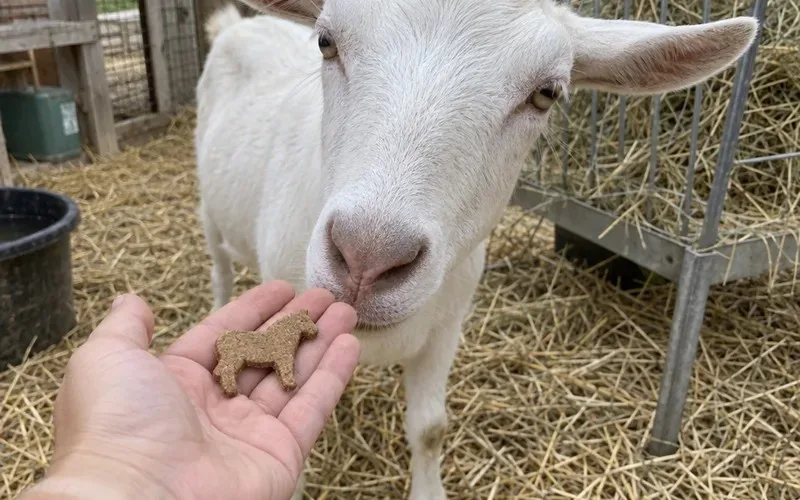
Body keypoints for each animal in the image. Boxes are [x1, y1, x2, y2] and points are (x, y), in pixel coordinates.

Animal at [195, 1, 757, 498]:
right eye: (326, 43)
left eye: (546, 93)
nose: (367, 259)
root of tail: (237, 26)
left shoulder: (447, 326)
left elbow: (429, 428)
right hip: (208, 203)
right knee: (219, 267)